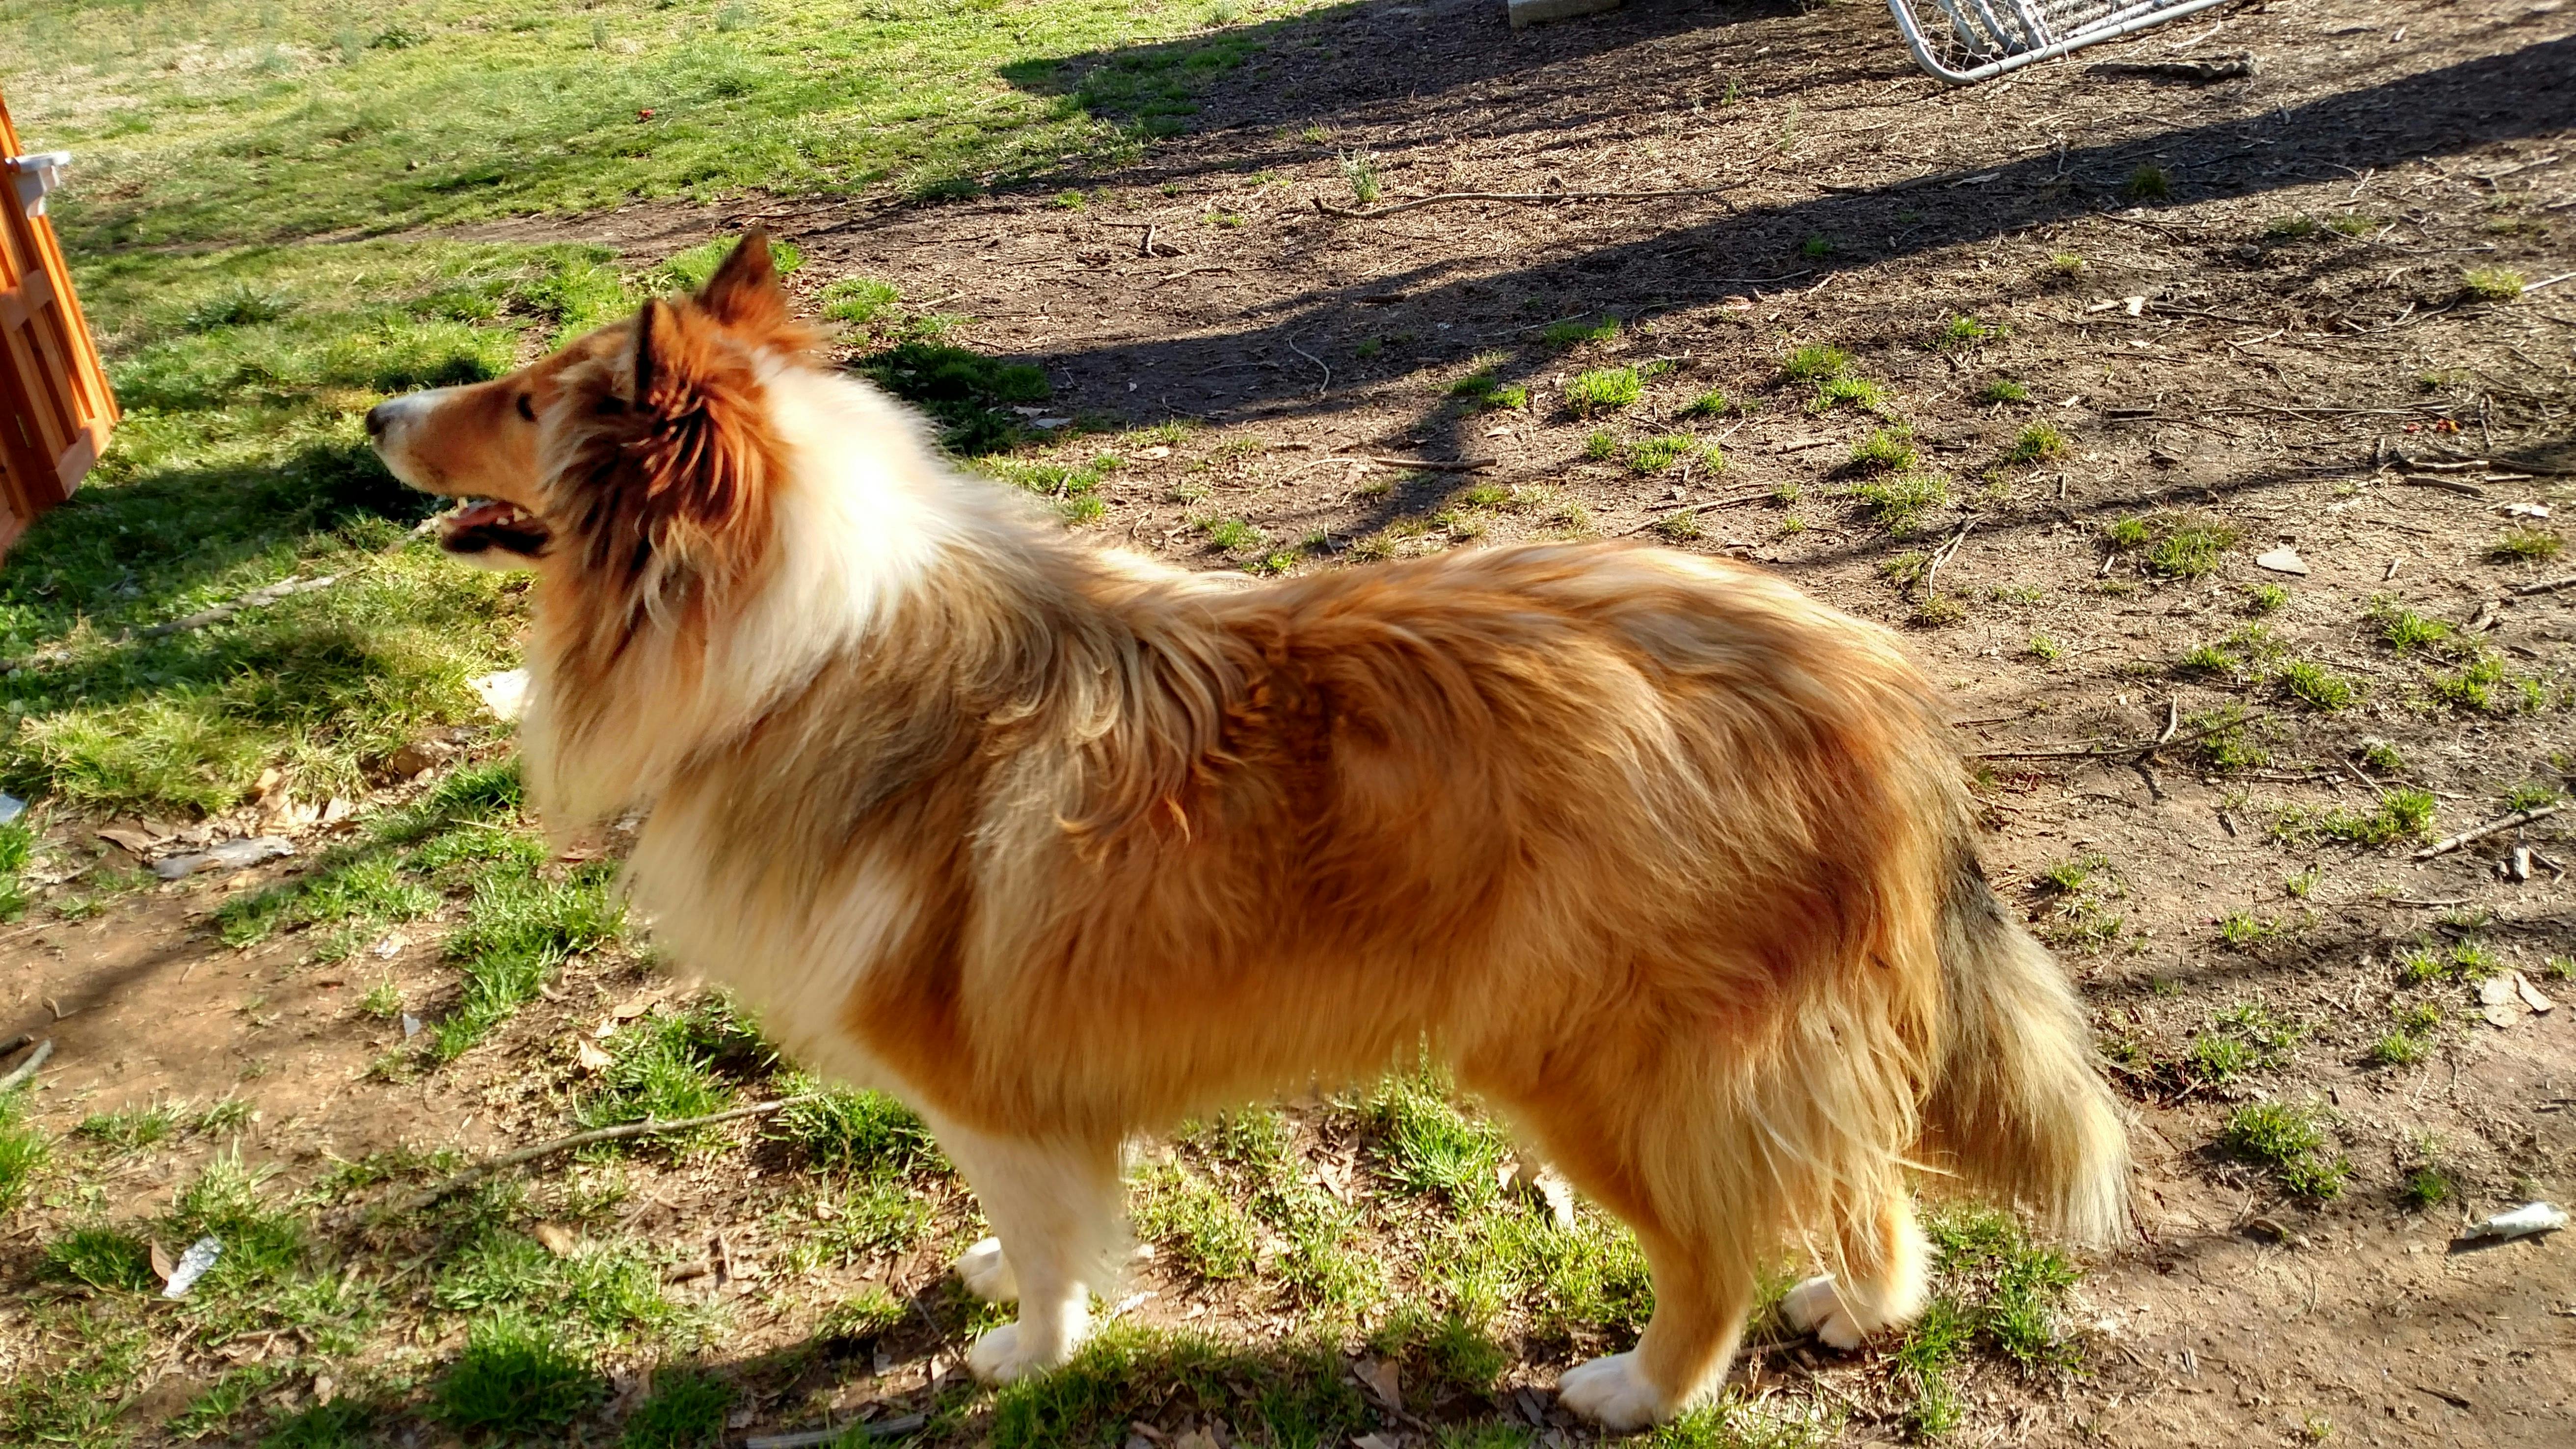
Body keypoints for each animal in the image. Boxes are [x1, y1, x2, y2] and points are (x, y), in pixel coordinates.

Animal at [368, 231, 2133, 1423]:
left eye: (520, 400)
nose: (380, 408)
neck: (791, 641)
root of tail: (1862, 688)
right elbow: (1032, 1225)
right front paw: (997, 1286)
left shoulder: (979, 1075)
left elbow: (1049, 1239)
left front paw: (1024, 1350)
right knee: (1862, 1172)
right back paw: (1858, 1306)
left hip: (1599, 1057)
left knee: (1715, 1244)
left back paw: (1639, 1386)